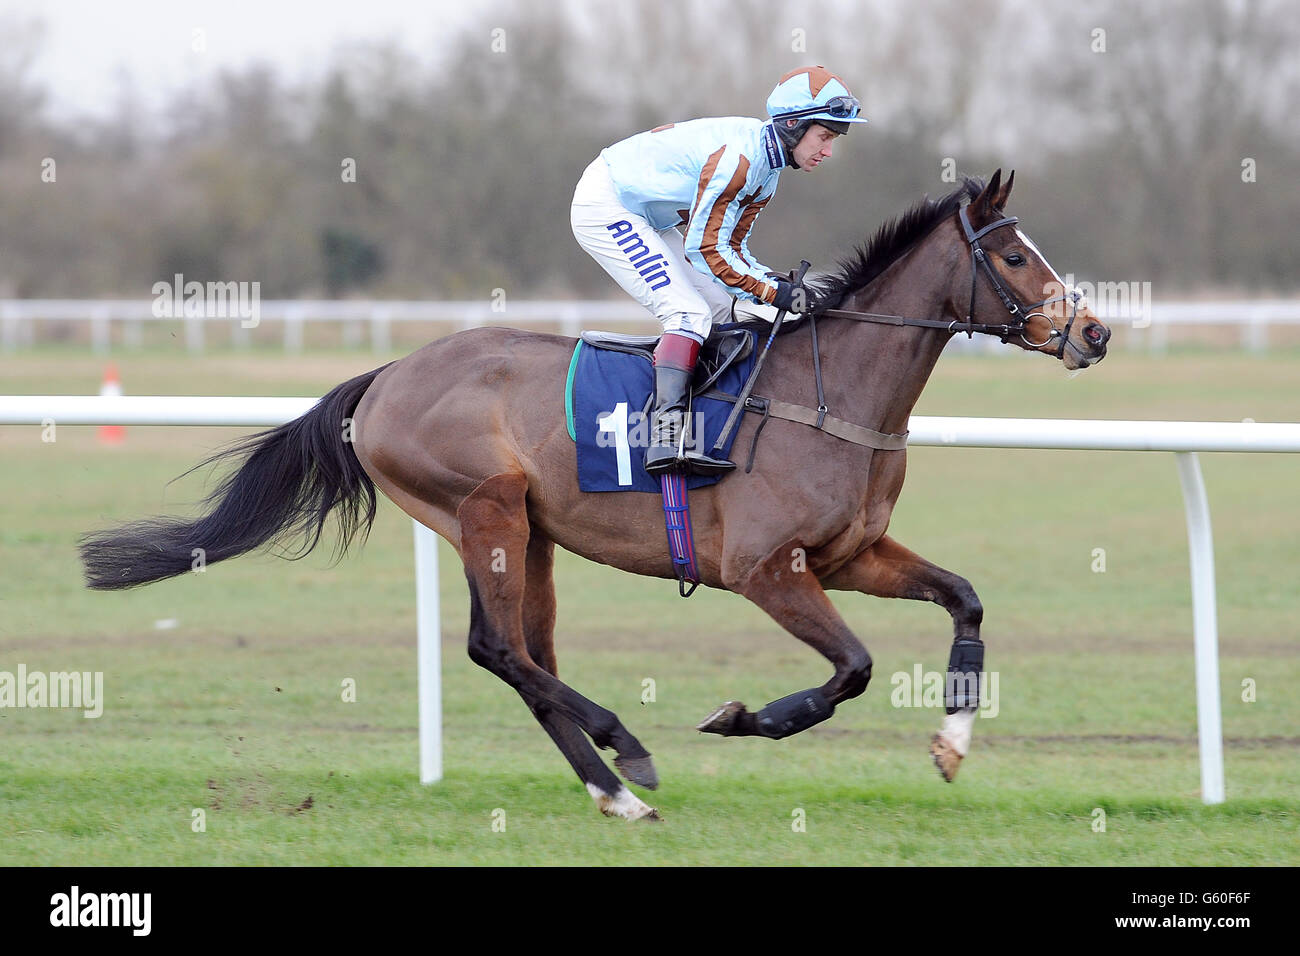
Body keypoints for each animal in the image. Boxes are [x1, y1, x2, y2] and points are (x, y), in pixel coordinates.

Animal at [81, 167, 1112, 816]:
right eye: (1014, 257)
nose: (1094, 333)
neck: (835, 393)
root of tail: (383, 378)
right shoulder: (764, 568)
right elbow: (852, 667)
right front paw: (745, 718)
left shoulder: (849, 554)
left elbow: (965, 600)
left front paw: (952, 744)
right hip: (484, 508)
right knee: (499, 649)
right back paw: (626, 750)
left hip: (527, 532)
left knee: (522, 654)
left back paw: (611, 787)